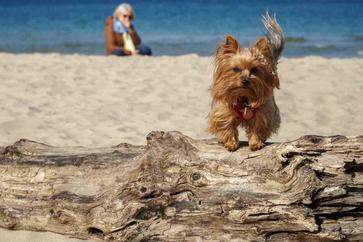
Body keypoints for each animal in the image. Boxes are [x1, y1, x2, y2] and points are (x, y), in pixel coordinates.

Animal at [209, 13, 286, 151]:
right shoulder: (223, 111)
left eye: (254, 70)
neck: (243, 97)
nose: (245, 81)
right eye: (236, 69)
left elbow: (257, 126)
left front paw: (256, 143)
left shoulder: (263, 111)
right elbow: (227, 126)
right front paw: (230, 143)